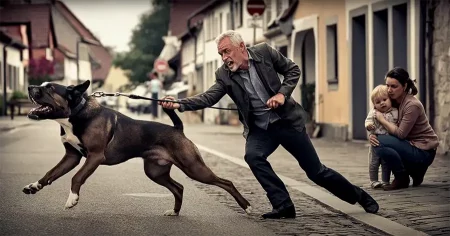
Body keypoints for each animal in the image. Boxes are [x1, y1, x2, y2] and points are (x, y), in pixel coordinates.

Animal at [23, 80, 253, 215]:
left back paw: (247, 206)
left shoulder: (94, 157)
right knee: (178, 187)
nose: (29, 86)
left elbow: (76, 177)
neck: (77, 113)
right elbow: (50, 173)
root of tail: (177, 129)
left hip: (194, 168)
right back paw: (175, 211)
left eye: (50, 88)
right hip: (155, 171)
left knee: (226, 182)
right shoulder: (71, 157)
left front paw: (72, 199)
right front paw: (34, 186)